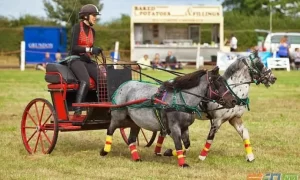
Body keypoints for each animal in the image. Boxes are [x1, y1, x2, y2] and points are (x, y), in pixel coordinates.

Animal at [99, 66, 237, 167]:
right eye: (218, 83)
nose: (233, 101)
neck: (182, 100)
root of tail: (123, 86)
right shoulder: (174, 127)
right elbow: (179, 144)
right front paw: (182, 163)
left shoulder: (184, 127)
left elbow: (186, 145)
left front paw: (168, 152)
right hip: (118, 116)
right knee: (110, 129)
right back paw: (104, 150)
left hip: (135, 122)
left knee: (131, 139)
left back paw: (137, 158)